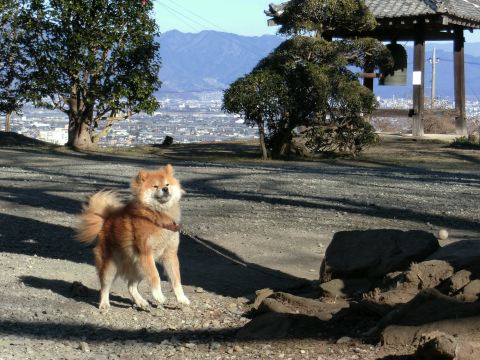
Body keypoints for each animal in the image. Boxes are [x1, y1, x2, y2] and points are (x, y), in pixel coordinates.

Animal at [75, 165, 189, 310]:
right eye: (155, 186)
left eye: (167, 184)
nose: (165, 189)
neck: (157, 215)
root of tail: (106, 221)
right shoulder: (146, 254)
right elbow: (155, 276)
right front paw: (159, 296)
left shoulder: (170, 255)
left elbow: (176, 280)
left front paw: (182, 298)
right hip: (111, 267)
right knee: (105, 287)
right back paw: (104, 304)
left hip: (138, 267)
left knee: (131, 286)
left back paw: (140, 302)